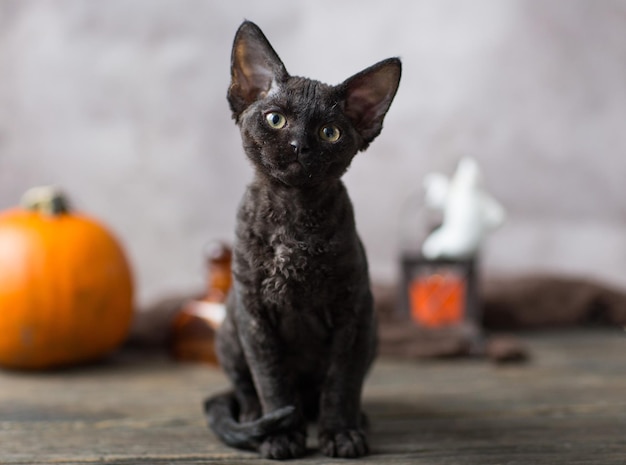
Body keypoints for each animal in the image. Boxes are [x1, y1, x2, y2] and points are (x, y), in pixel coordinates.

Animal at [205, 20, 400, 456]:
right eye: (275, 119)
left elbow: (341, 382)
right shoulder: (255, 314)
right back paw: (252, 419)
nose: (300, 145)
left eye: (330, 132)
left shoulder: (352, 312)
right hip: (229, 325)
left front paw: (340, 433)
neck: (293, 215)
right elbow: (273, 383)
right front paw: (280, 435)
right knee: (244, 389)